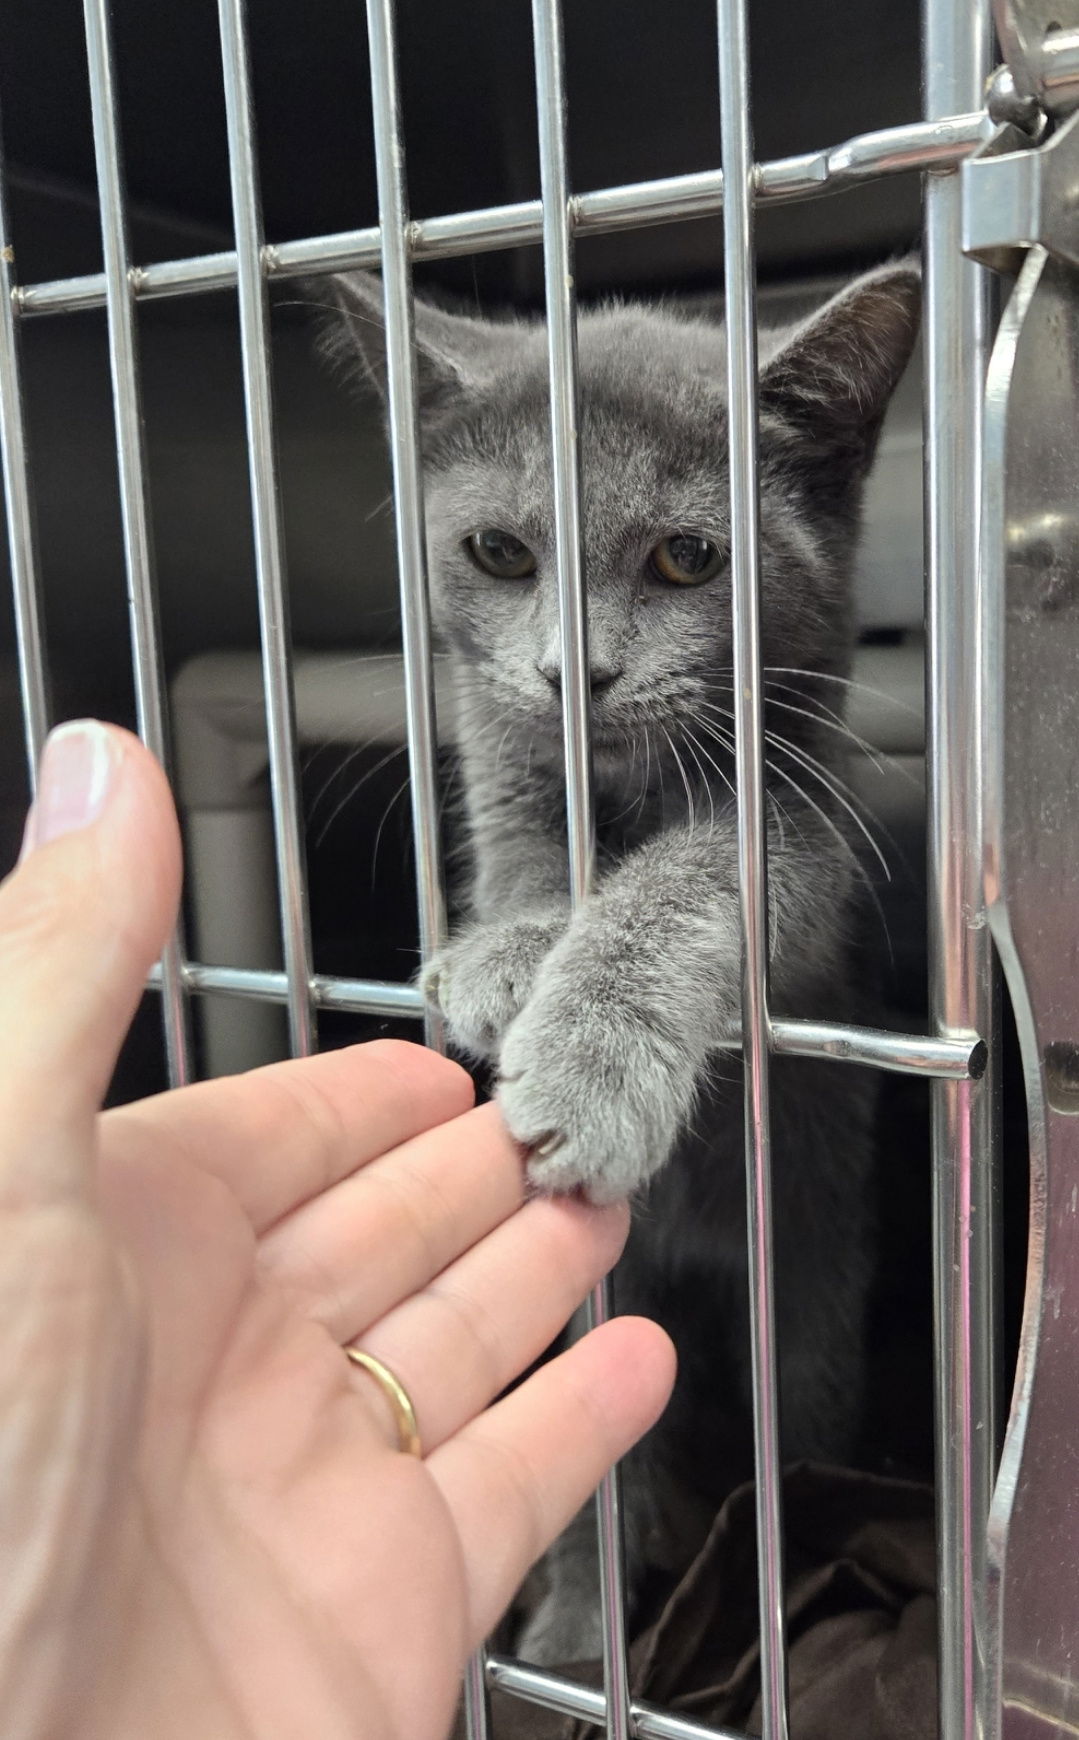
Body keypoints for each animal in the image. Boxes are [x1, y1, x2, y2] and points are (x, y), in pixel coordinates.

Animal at [320, 264, 918, 1663]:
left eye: (688, 557)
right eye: (498, 551)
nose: (570, 673)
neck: (626, 792)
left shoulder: (808, 841)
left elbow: (689, 881)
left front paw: (584, 1065)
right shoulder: (501, 761)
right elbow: (518, 840)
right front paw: (506, 953)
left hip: (812, 1269)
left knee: (794, 1430)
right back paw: (573, 1628)